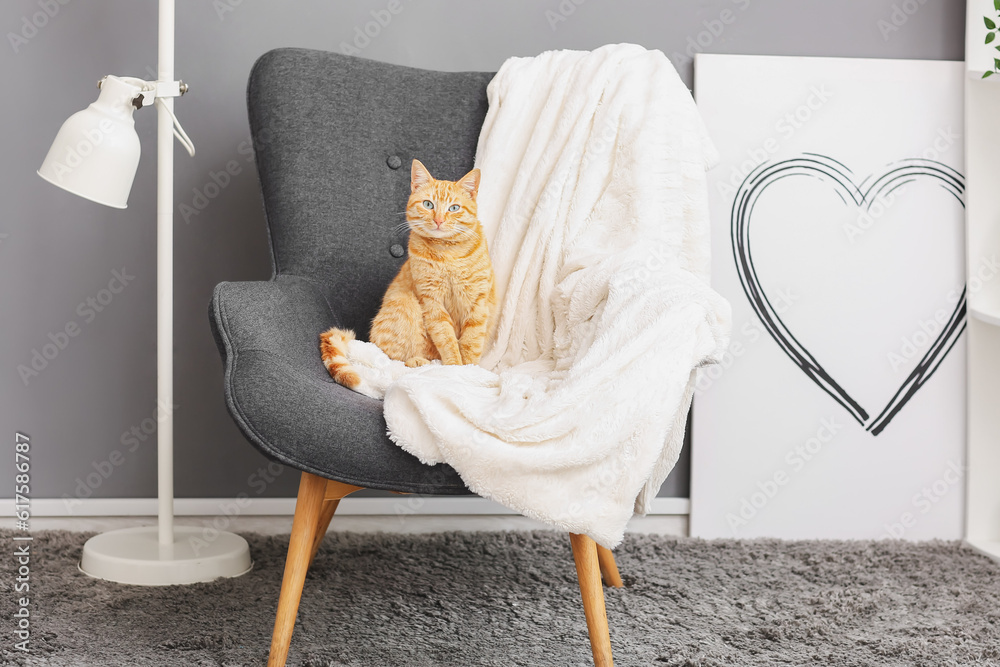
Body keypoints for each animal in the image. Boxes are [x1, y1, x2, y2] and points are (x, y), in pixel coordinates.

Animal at [320, 160, 496, 388]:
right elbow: (446, 338)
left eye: (454, 208)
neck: (447, 253)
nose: (439, 220)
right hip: (405, 304)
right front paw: (455, 369)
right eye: (428, 204)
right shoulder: (432, 302)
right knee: (391, 360)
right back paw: (418, 362)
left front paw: (471, 371)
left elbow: (471, 342)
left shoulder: (477, 302)